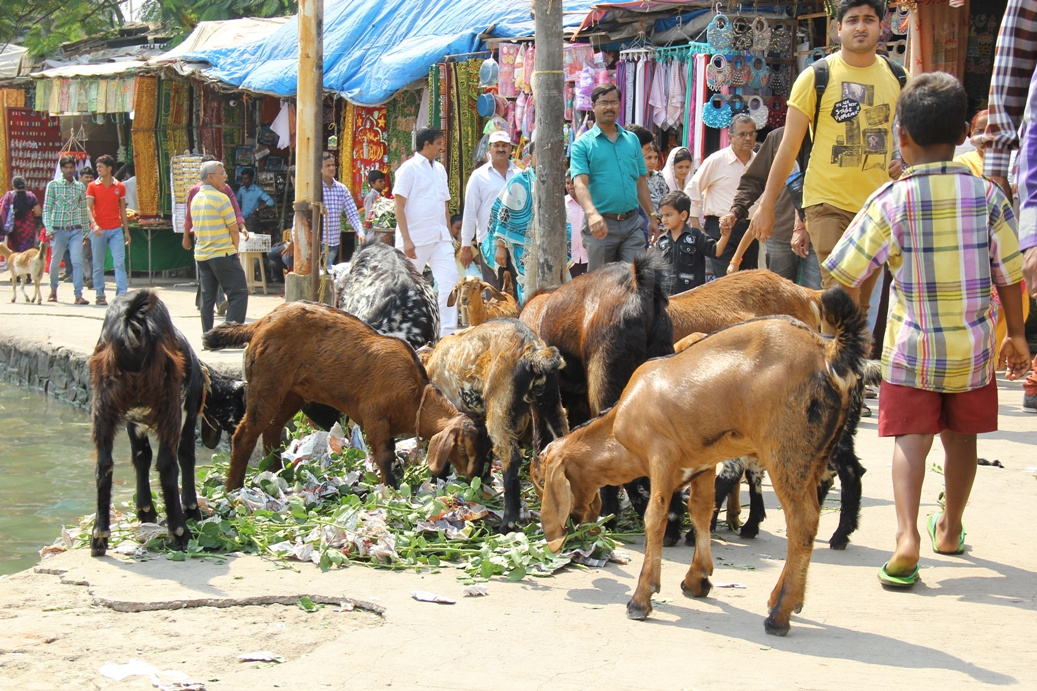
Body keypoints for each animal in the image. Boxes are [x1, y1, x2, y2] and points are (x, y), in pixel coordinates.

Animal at [88, 288, 205, 556]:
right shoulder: (186, 417)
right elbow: (186, 457)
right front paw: (192, 510)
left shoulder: (134, 423)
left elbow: (141, 457)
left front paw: (145, 511)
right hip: (169, 406)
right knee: (167, 464)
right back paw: (180, 532)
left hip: (103, 405)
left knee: (104, 464)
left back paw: (99, 536)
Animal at [202, 300, 485, 489]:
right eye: (463, 448)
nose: (478, 480)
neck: (414, 396)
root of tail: (261, 322)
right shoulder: (374, 417)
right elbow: (385, 456)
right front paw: (391, 489)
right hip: (267, 383)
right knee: (246, 433)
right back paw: (233, 487)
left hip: (292, 392)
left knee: (272, 430)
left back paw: (279, 475)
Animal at [423, 319, 572, 531]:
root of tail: (532, 349)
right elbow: (483, 451)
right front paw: (481, 479)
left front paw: (439, 478)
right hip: (550, 403)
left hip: (499, 407)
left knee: (511, 458)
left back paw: (508, 522)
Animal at [518, 250, 680, 539]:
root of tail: (638, 283)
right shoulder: (578, 401)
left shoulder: (544, 396)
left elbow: (546, 439)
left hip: (605, 380)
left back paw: (612, 514)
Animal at [535, 286, 866, 634]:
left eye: (542, 481)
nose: (573, 522)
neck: (619, 422)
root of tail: (829, 352)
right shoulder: (703, 462)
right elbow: (701, 510)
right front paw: (698, 579)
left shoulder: (661, 457)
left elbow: (655, 516)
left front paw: (641, 597)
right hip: (818, 453)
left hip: (787, 452)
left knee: (803, 521)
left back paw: (780, 612)